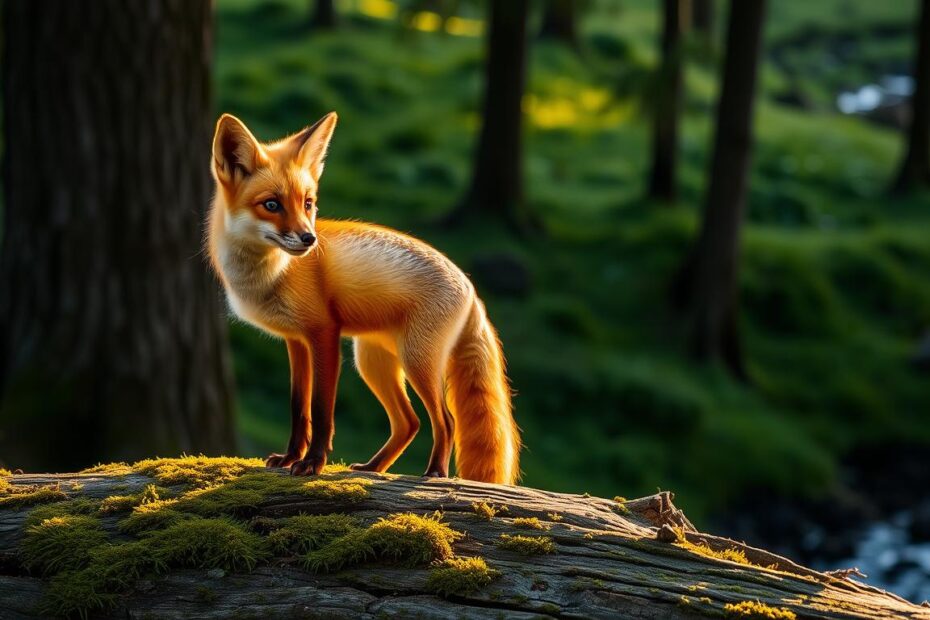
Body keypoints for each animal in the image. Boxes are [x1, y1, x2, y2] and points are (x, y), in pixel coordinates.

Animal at [207, 111, 520, 484]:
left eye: (307, 203)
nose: (309, 239)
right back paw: (373, 467)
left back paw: (435, 472)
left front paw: (312, 464)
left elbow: (321, 411)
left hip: (416, 361)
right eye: (271, 205)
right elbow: (299, 410)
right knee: (409, 422)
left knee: (446, 420)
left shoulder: (324, 335)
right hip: (372, 362)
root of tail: (472, 289)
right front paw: (289, 458)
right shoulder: (296, 342)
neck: (271, 275)